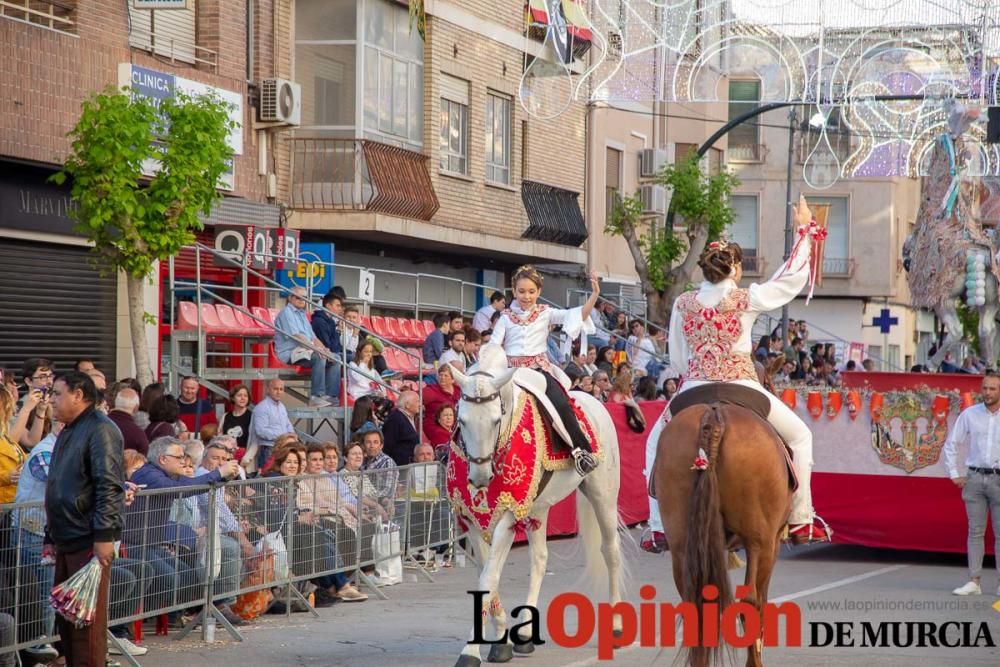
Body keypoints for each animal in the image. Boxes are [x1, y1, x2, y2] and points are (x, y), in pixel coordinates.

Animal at [454, 348, 624, 664]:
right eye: (462, 419)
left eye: (496, 419)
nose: (480, 478)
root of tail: (594, 400)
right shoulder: (473, 520)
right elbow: (487, 575)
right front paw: (501, 641)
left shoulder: (508, 516)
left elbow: (488, 578)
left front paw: (470, 652)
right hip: (538, 507)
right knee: (540, 559)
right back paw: (523, 636)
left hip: (603, 495)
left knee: (610, 552)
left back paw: (617, 629)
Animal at [652, 402, 792, 667]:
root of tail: (713, 417)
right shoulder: (773, 543)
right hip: (760, 542)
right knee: (751, 601)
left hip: (682, 544)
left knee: (696, 605)